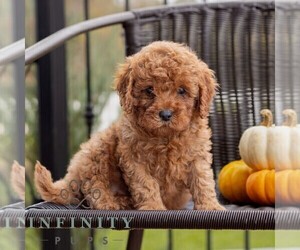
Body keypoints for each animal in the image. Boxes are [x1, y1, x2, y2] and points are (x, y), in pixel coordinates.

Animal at [34, 41, 224, 211]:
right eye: (149, 90)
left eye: (182, 90)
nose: (165, 114)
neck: (166, 137)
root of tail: (72, 173)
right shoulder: (133, 158)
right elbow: (145, 184)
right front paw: (153, 207)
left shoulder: (197, 155)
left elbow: (203, 181)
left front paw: (210, 206)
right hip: (98, 150)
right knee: (93, 185)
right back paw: (111, 203)